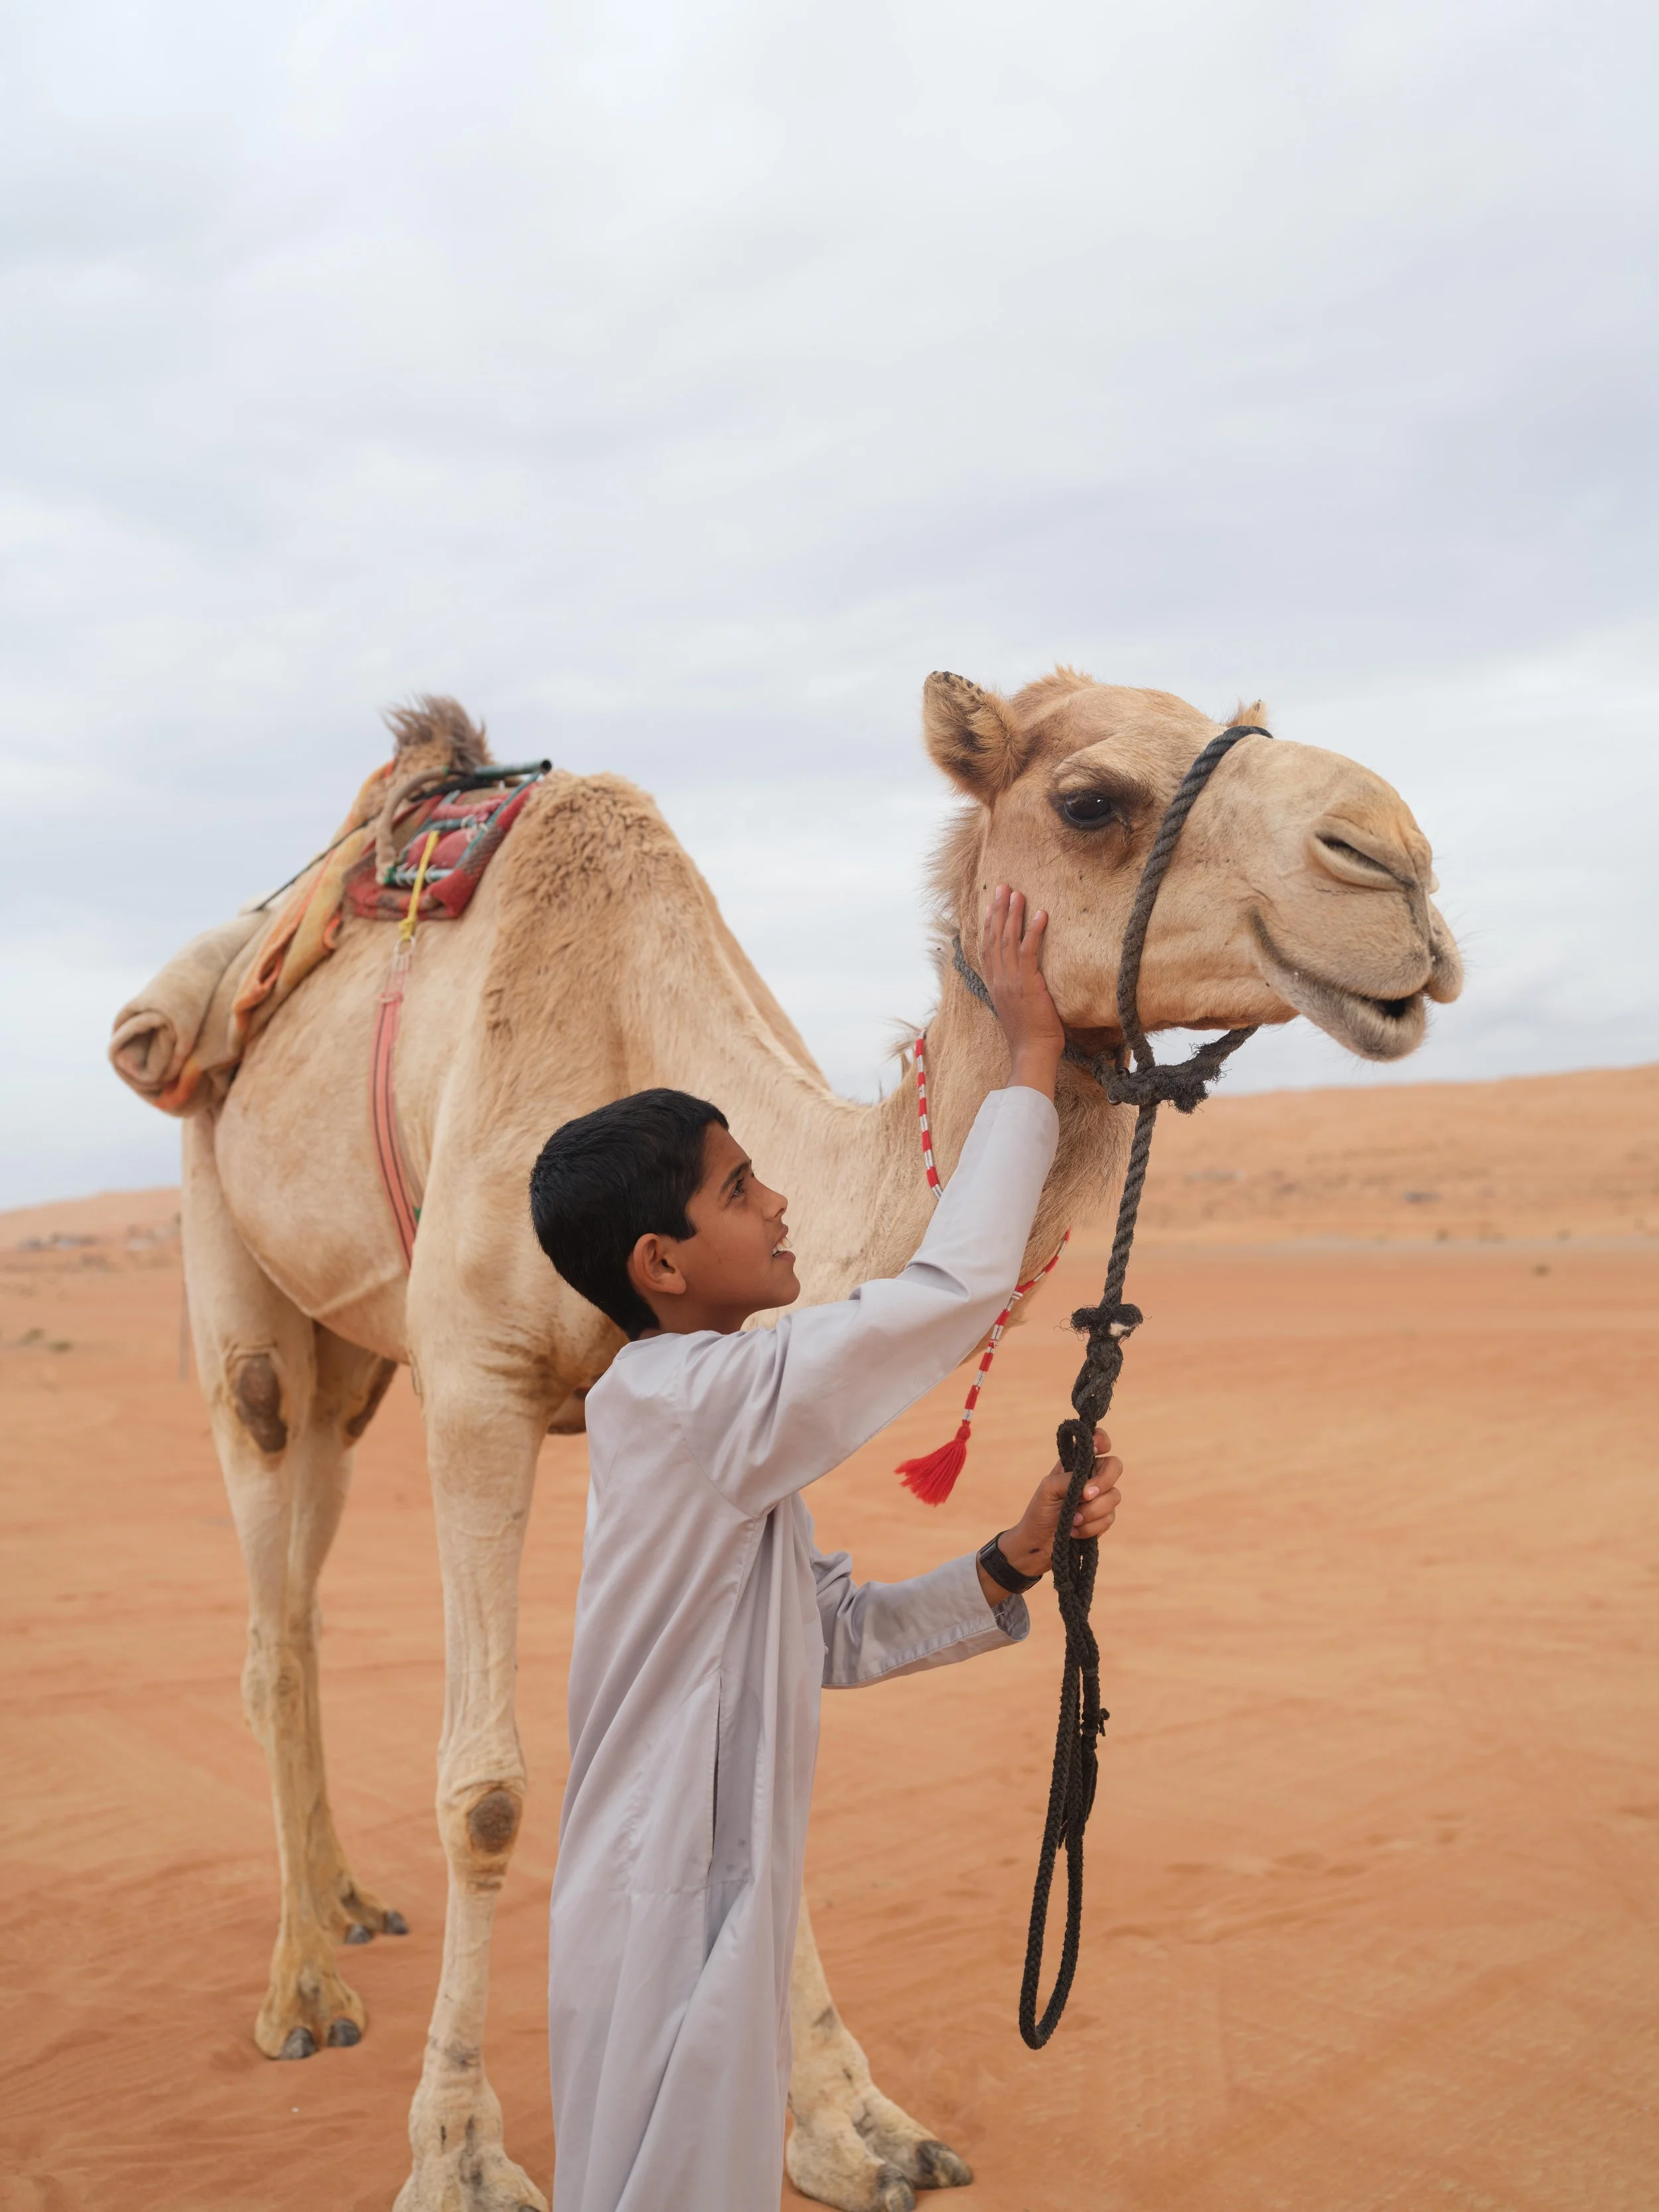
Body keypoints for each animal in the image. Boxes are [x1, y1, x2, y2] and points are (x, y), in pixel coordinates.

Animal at [166, 667, 1460, 2212]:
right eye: (1088, 800)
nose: (1398, 864)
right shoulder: (474, 1375)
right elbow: (482, 1792)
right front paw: (461, 2155)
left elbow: (775, 1725)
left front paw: (853, 2125)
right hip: (232, 1252)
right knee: (267, 1586)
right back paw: (303, 1987)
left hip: (355, 1364)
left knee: (299, 1575)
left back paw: (351, 1909)